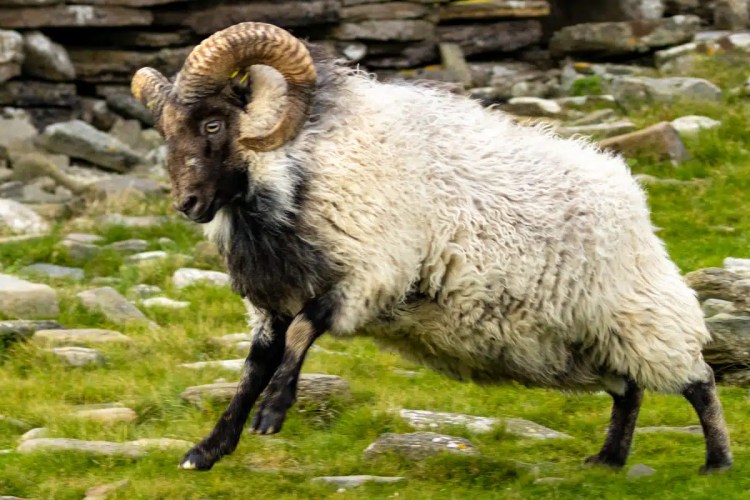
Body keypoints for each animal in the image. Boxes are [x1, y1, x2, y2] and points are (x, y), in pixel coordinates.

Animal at [131, 21, 733, 474]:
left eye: (213, 123)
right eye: (165, 132)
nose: (187, 204)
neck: (302, 162)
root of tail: (628, 190)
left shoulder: (373, 272)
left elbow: (304, 331)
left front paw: (273, 414)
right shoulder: (271, 297)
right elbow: (254, 366)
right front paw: (208, 449)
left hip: (641, 311)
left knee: (697, 381)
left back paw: (717, 462)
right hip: (588, 338)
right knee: (628, 390)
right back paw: (609, 459)